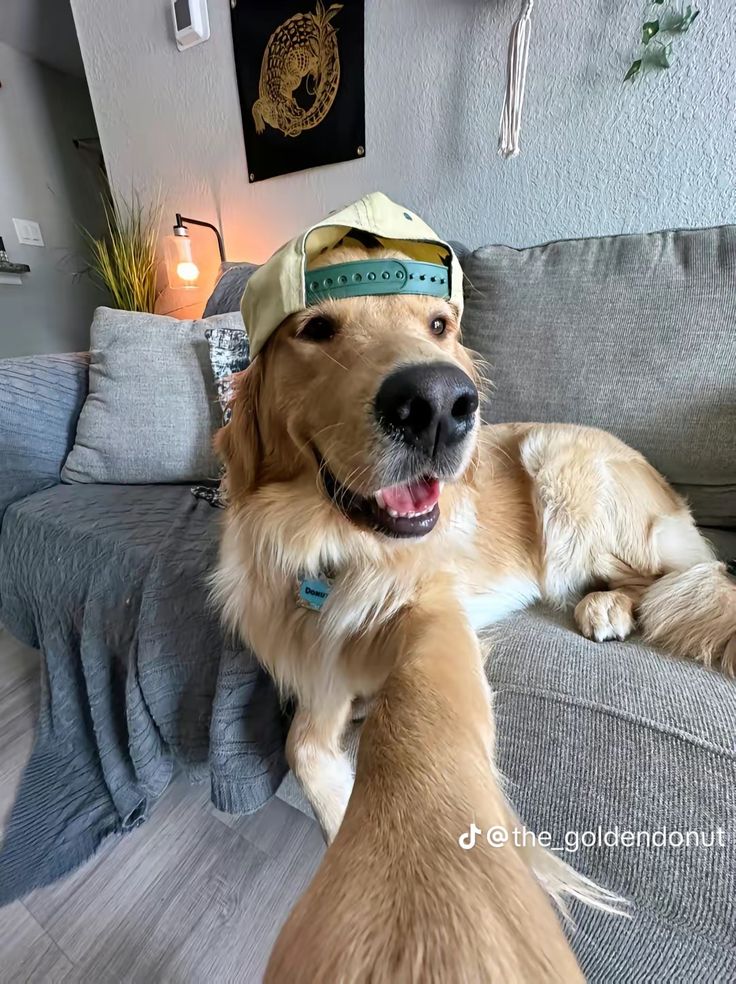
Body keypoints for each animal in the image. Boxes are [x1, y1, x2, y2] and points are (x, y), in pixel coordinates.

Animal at [216, 244, 732, 976]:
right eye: (315, 329)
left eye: (438, 325)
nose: (439, 403)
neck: (331, 549)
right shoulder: (318, 673)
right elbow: (302, 749)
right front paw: (340, 804)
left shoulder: (437, 619)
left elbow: (412, 732)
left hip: (558, 465)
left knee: (679, 577)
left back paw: (607, 607)